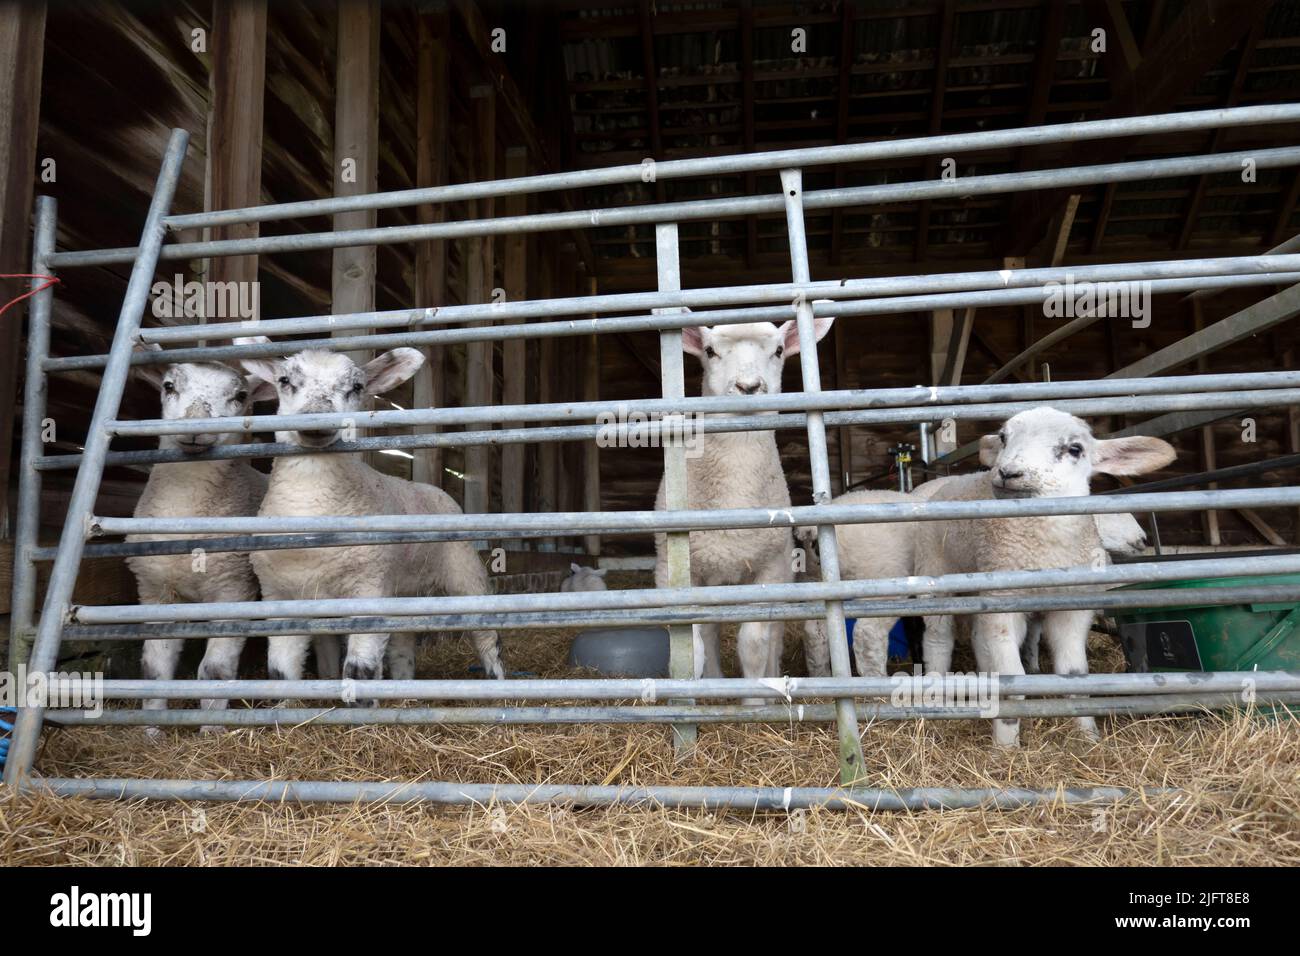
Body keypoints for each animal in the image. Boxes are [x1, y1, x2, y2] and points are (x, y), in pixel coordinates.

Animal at [126, 348, 274, 738]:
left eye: (240, 396)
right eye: (169, 385)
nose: (195, 425)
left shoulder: (233, 589)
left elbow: (215, 670)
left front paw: (211, 732)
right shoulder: (155, 592)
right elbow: (153, 669)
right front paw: (151, 733)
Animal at [241, 343, 504, 686]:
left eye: (357, 387)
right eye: (284, 380)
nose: (317, 417)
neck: (311, 504)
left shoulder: (369, 587)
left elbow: (359, 671)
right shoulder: (280, 596)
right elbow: (280, 673)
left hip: (465, 573)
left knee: (487, 637)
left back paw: (498, 679)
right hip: (402, 591)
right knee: (403, 645)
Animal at [650, 317, 832, 686]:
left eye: (779, 350)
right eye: (709, 351)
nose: (749, 386)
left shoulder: (769, 571)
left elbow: (754, 645)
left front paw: (753, 693)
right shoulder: (673, 572)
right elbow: (693, 646)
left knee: (774, 636)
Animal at [915, 405, 1180, 749]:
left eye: (1075, 449)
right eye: (1004, 437)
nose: (1008, 473)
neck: (1042, 551)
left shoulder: (1071, 609)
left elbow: (1074, 674)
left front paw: (1087, 735)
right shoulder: (1003, 604)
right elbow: (1013, 680)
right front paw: (1006, 745)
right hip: (935, 572)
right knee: (938, 638)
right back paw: (936, 691)